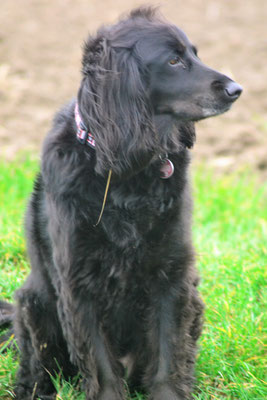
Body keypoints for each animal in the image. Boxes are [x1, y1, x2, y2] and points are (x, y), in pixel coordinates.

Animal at [0, 7, 243, 400]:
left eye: (195, 54)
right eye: (173, 60)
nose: (237, 89)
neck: (125, 172)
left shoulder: (171, 274)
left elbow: (168, 355)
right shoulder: (79, 283)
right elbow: (100, 365)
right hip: (33, 303)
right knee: (37, 369)